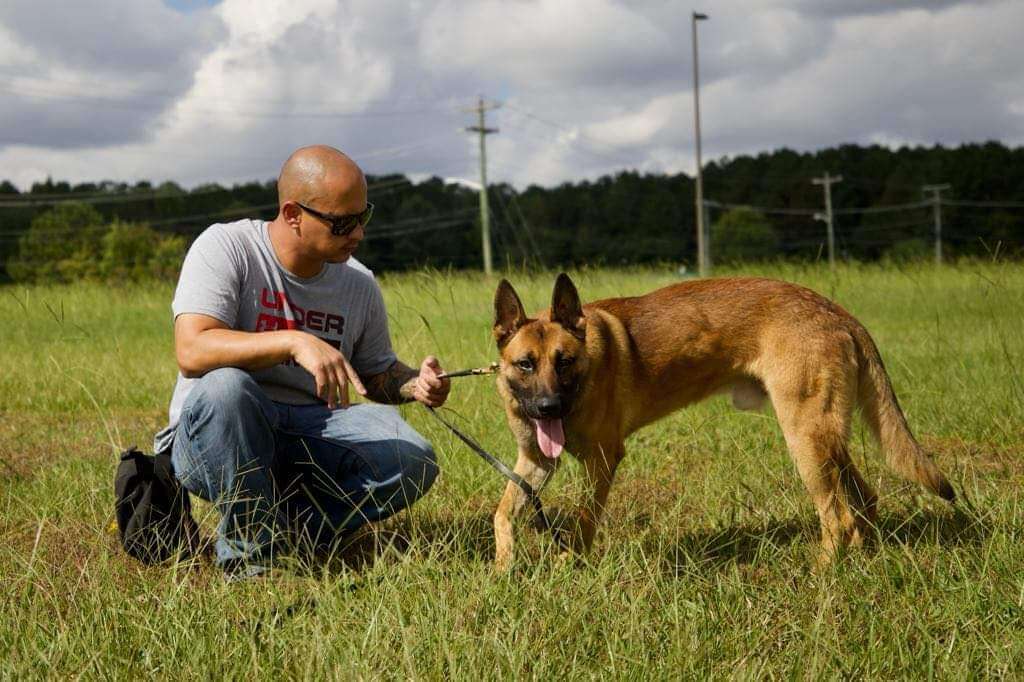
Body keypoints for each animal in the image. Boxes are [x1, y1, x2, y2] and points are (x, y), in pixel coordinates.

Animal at [491, 272, 954, 569]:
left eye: (564, 362)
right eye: (525, 364)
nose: (548, 408)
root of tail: (838, 312)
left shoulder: (602, 460)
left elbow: (584, 520)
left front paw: (569, 564)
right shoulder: (535, 462)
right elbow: (503, 513)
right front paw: (503, 566)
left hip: (805, 442)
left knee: (837, 517)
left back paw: (822, 573)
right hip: (827, 442)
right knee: (863, 502)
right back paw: (860, 559)